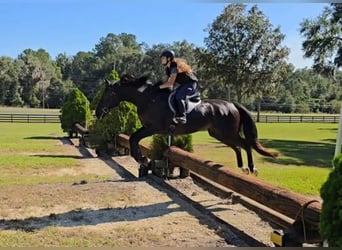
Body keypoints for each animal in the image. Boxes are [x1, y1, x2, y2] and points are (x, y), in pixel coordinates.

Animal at [95, 75, 278, 175]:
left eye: (107, 95)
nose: (97, 113)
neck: (148, 99)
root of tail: (232, 104)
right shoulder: (150, 128)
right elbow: (133, 138)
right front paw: (142, 159)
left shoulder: (153, 128)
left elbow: (134, 138)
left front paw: (142, 158)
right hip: (219, 133)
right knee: (238, 146)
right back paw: (242, 167)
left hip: (227, 132)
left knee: (246, 144)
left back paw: (252, 168)